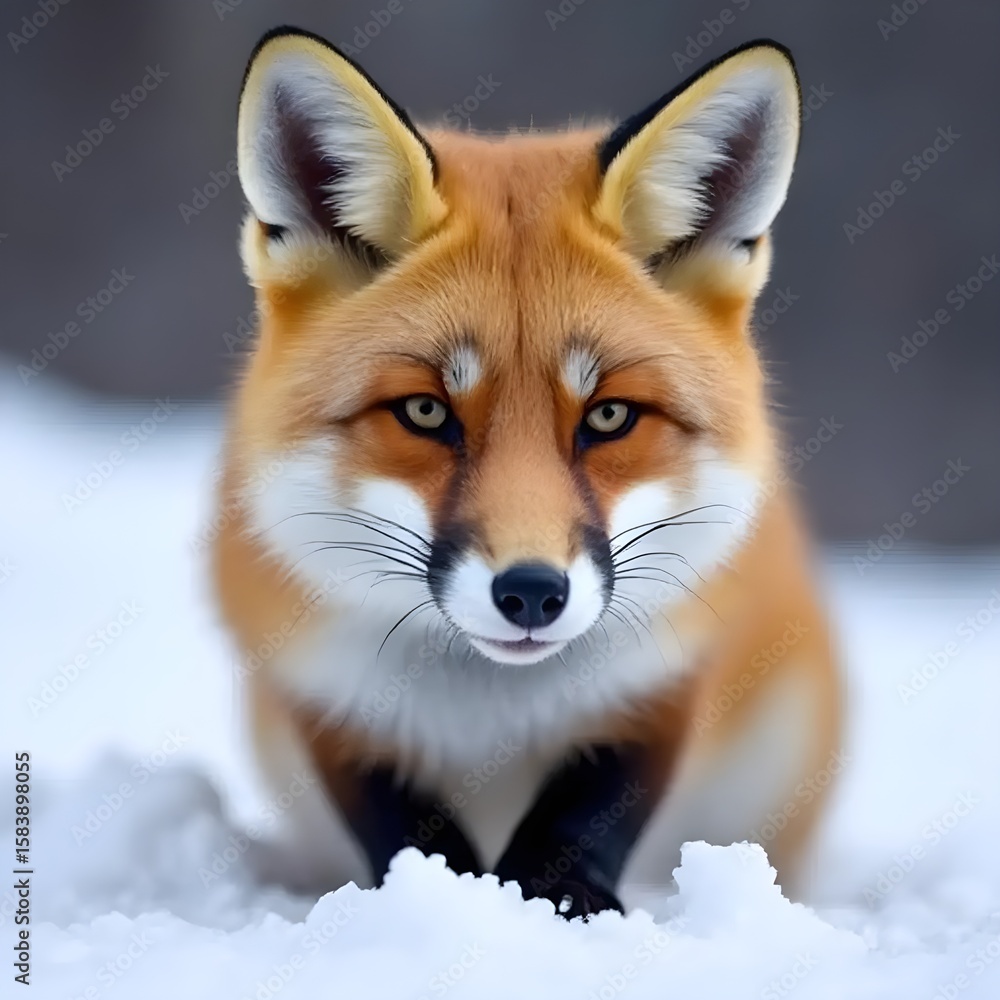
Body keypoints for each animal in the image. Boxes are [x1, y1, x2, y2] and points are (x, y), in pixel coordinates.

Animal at [214, 26, 842, 918]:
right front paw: (437, 899)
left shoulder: (666, 672)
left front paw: (560, 904)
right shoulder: (324, 692)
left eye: (608, 417)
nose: (533, 593)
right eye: (426, 412)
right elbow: (402, 828)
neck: (493, 708)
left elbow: (591, 810)